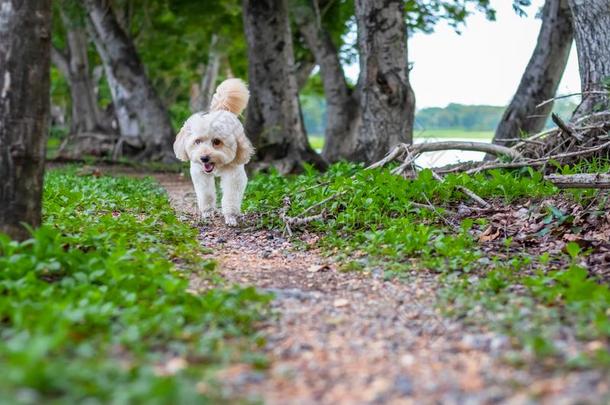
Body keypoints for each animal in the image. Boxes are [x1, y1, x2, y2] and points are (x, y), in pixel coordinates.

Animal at [172, 78, 253, 224]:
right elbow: (206, 194)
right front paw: (208, 212)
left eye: (216, 141)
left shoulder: (234, 175)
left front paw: (230, 216)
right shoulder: (200, 174)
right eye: (197, 141)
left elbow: (231, 196)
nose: (204, 158)